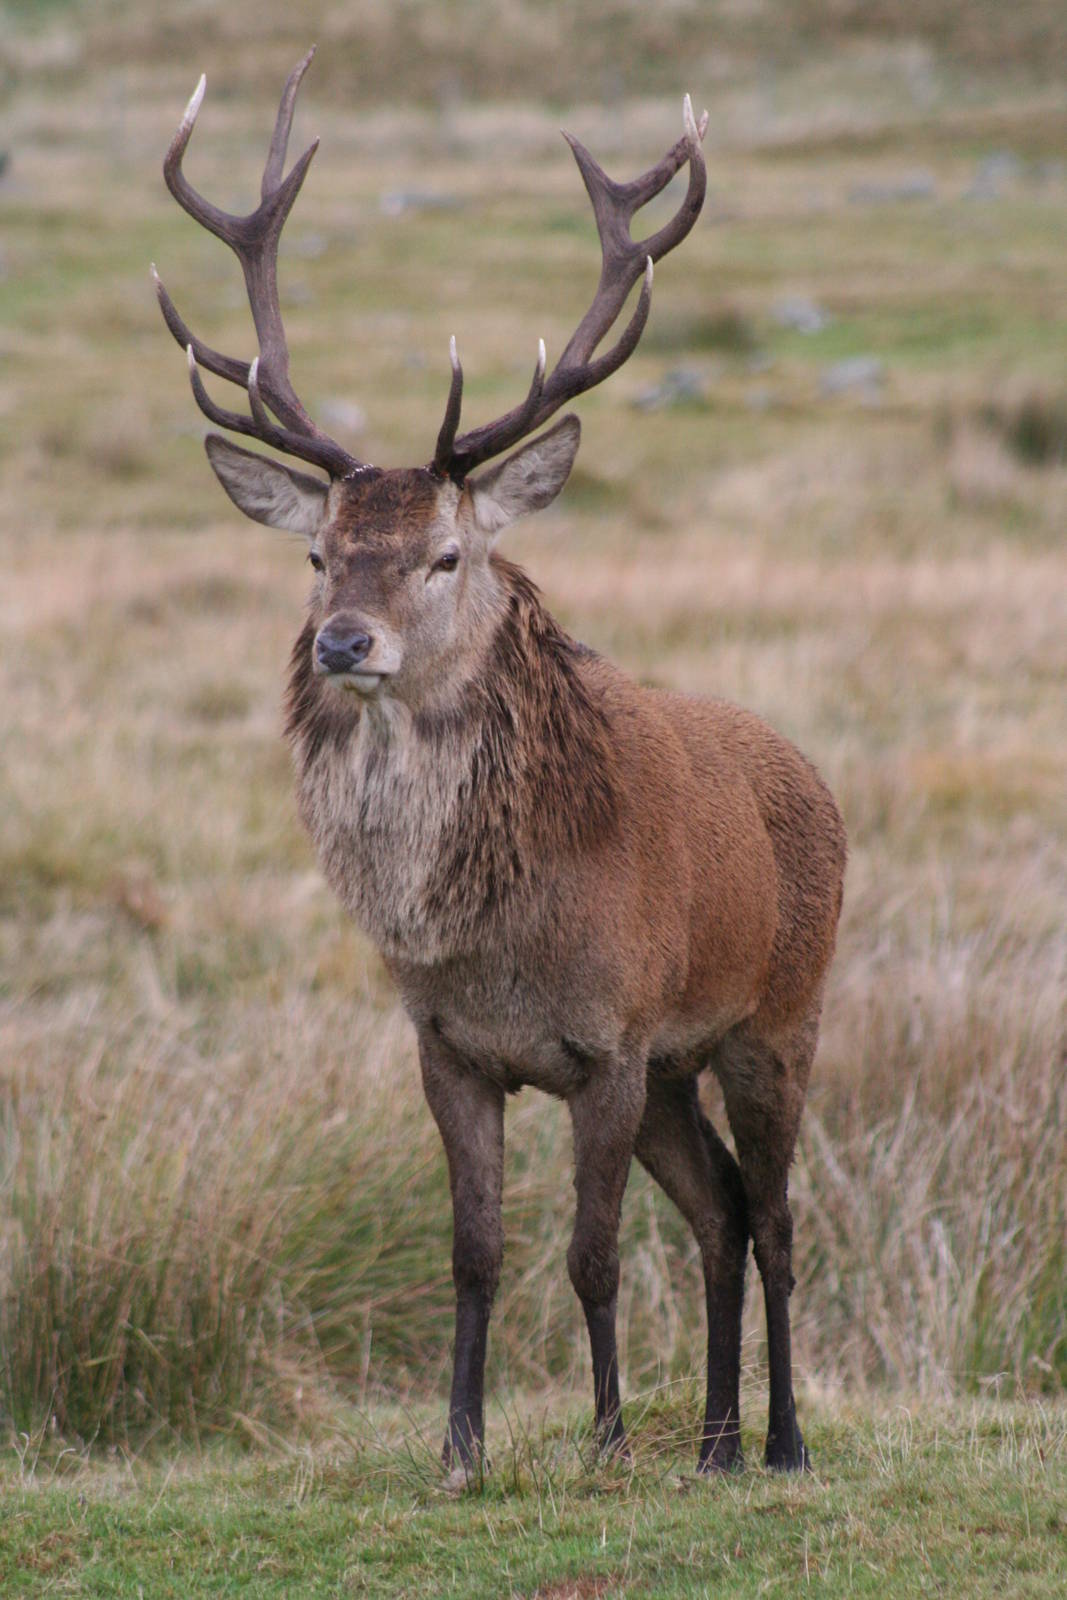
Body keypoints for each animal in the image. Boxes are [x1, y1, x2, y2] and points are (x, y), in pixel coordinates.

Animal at [155, 50, 846, 1479]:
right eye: (319, 553)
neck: (494, 940)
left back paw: (779, 1441)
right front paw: (460, 1448)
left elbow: (587, 1257)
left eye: (446, 554)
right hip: (681, 1067)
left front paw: (602, 1439)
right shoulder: (450, 1046)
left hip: (773, 1013)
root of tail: (814, 778)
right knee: (720, 1210)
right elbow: (473, 1252)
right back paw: (710, 1439)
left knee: (775, 1216)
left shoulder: (612, 1036)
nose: (342, 640)